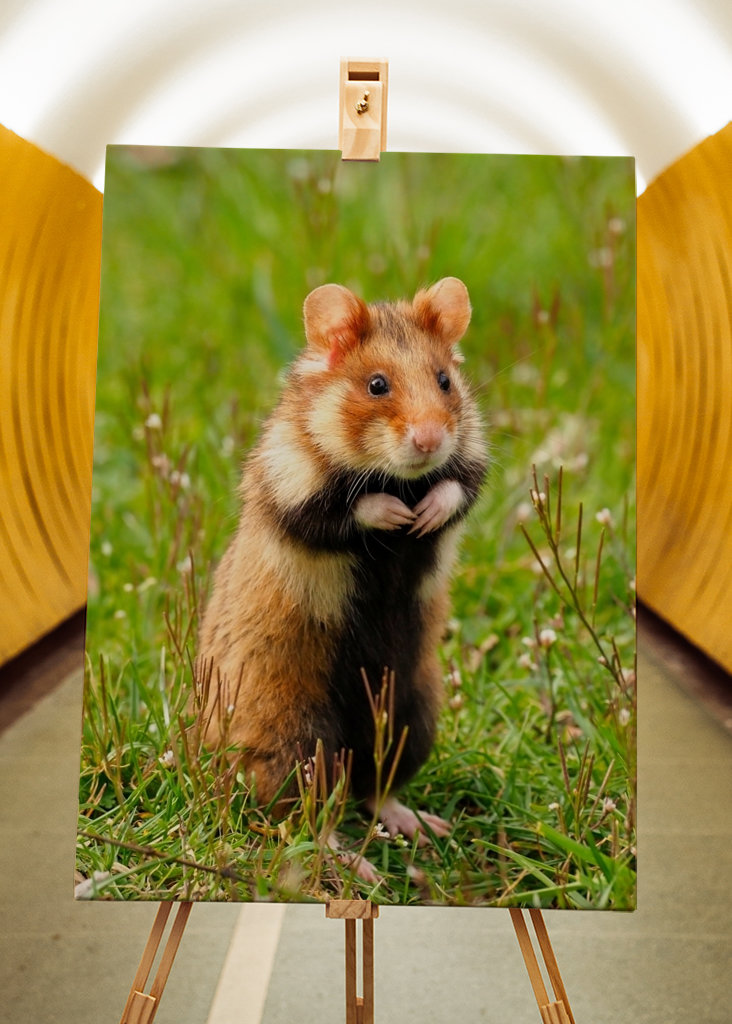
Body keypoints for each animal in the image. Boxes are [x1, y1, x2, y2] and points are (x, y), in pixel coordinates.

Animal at [196, 276, 487, 872]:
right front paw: (396, 514)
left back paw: (425, 827)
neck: (398, 475)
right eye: (376, 385)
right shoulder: (287, 488)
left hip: (411, 713)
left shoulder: (472, 458)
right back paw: (359, 865)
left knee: (373, 789)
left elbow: (457, 488)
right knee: (306, 815)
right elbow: (346, 510)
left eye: (444, 381)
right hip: (295, 738)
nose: (429, 440)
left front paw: (423, 516)